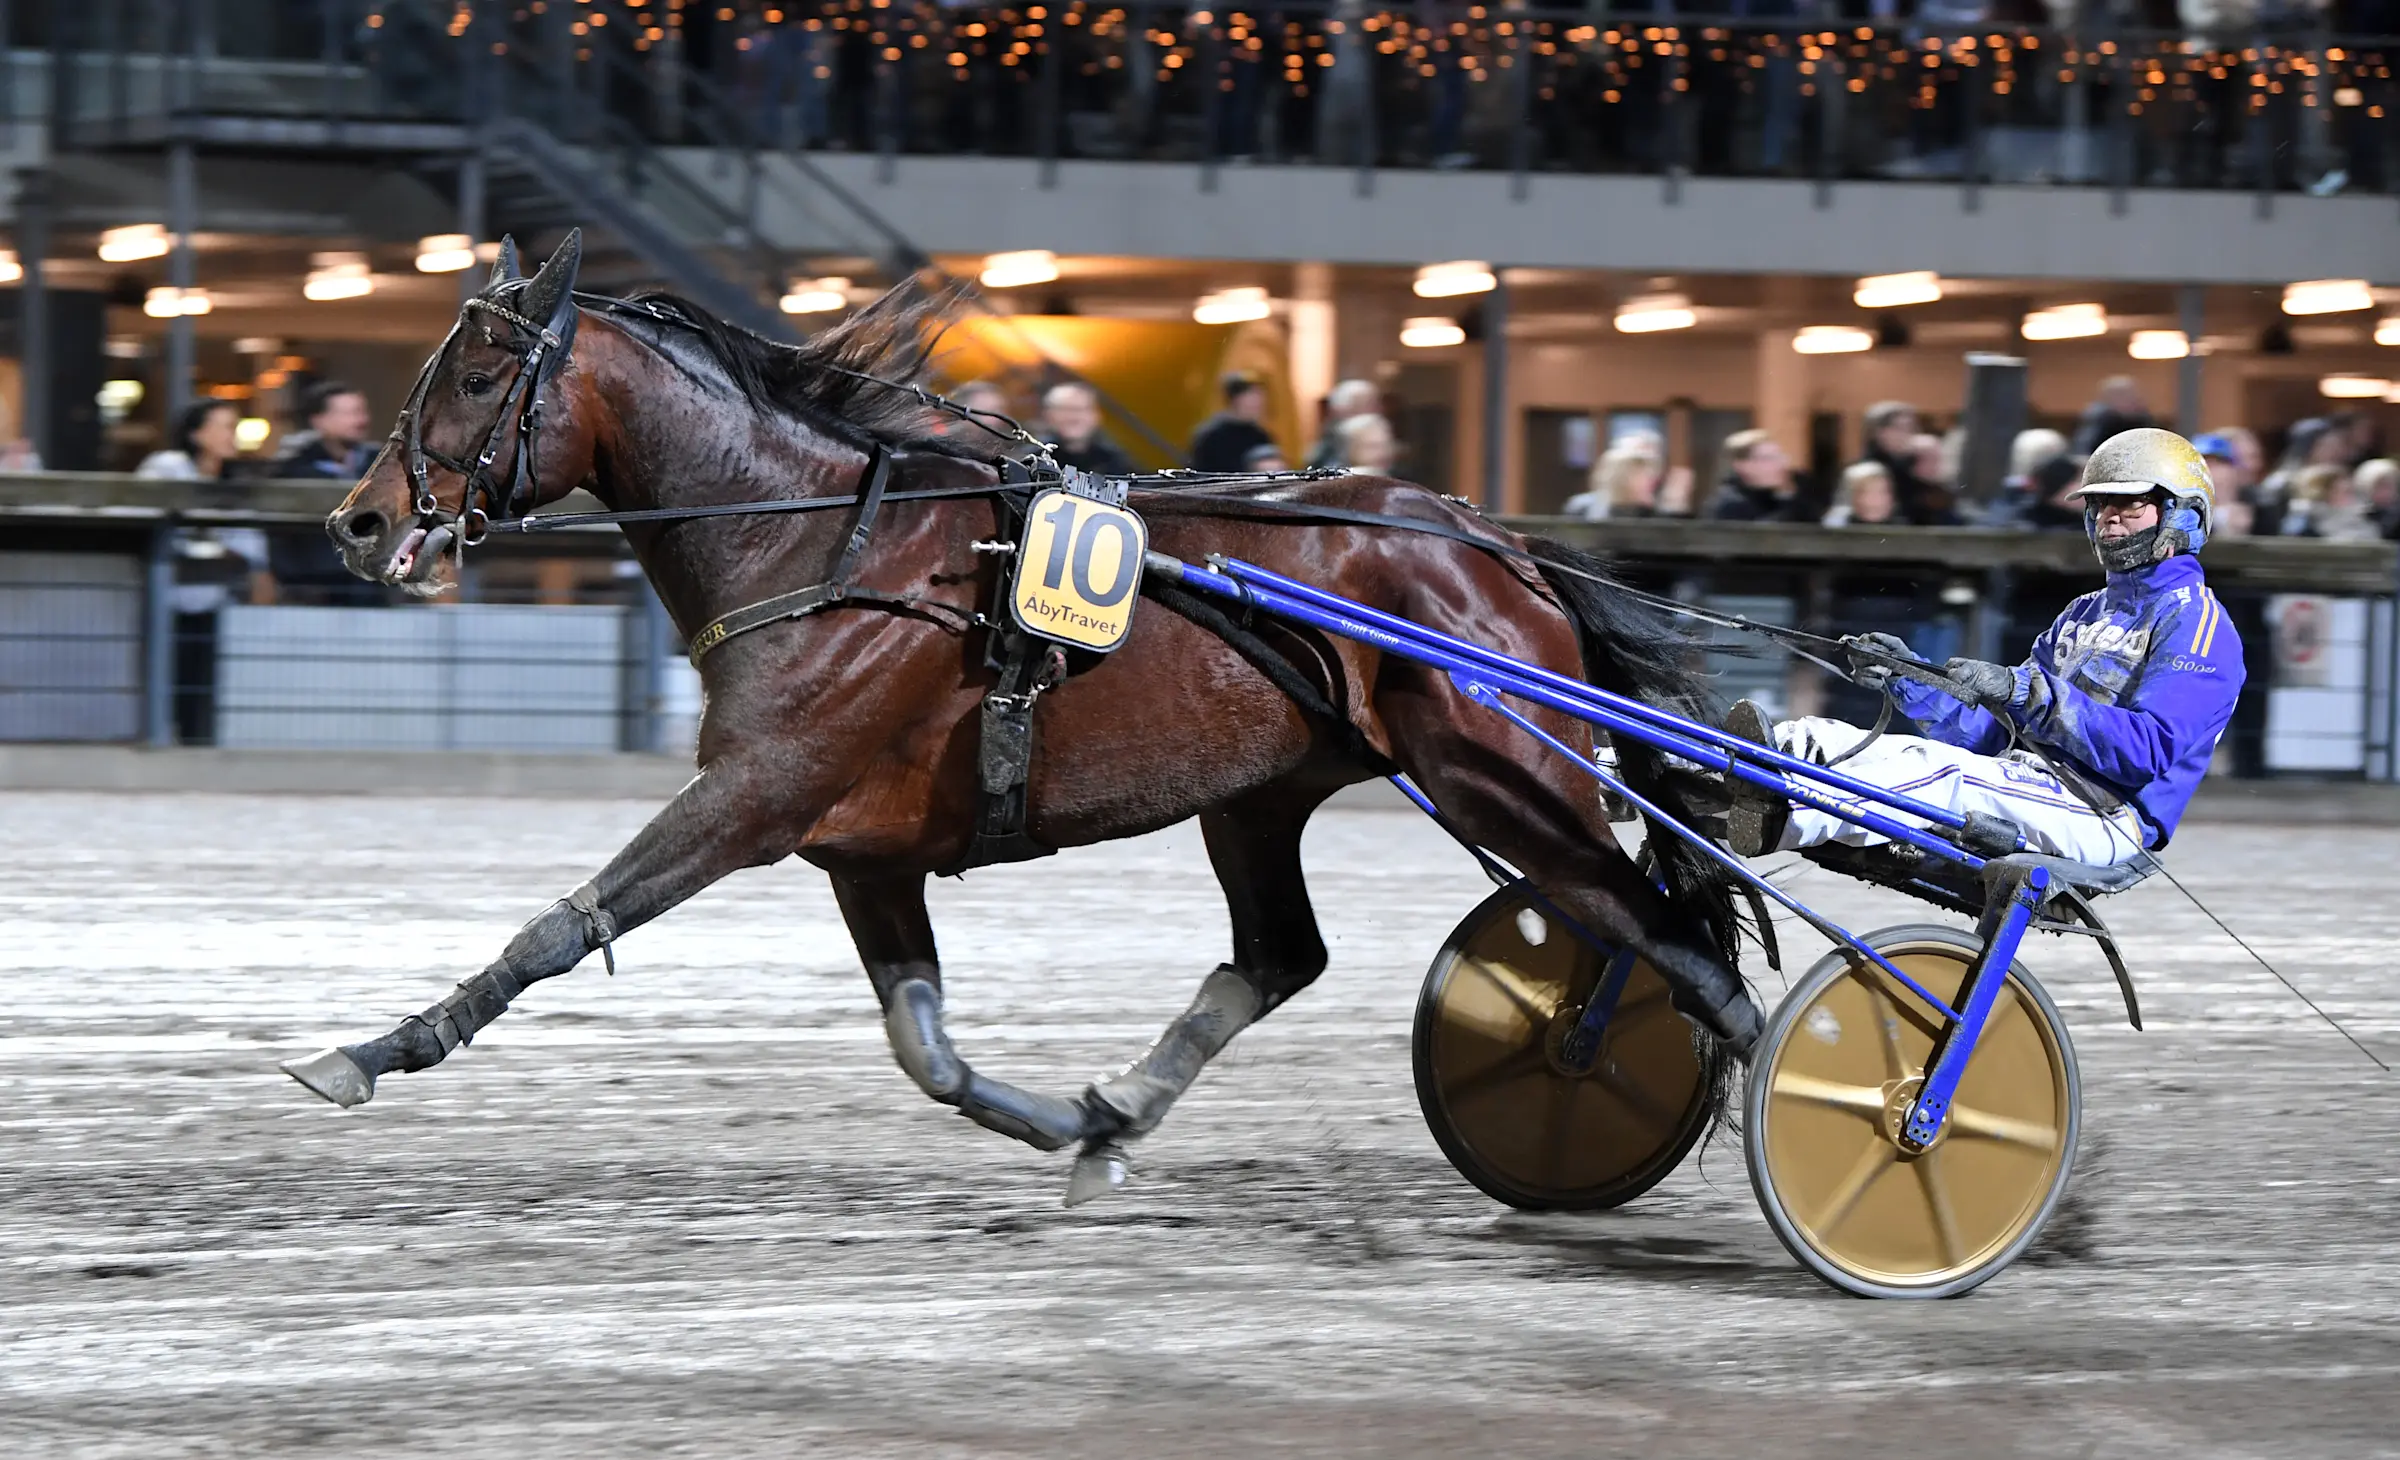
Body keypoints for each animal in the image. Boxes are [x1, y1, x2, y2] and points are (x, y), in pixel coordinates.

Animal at [290, 230, 1756, 1195]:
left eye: (480, 377)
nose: (356, 521)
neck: (820, 543)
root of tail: (1495, 544)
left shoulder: (754, 797)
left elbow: (560, 927)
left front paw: (375, 1049)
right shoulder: (864, 850)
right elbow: (925, 1047)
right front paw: (1066, 1124)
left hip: (1503, 776)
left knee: (1680, 937)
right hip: (1266, 791)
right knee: (1284, 956)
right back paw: (1123, 1116)